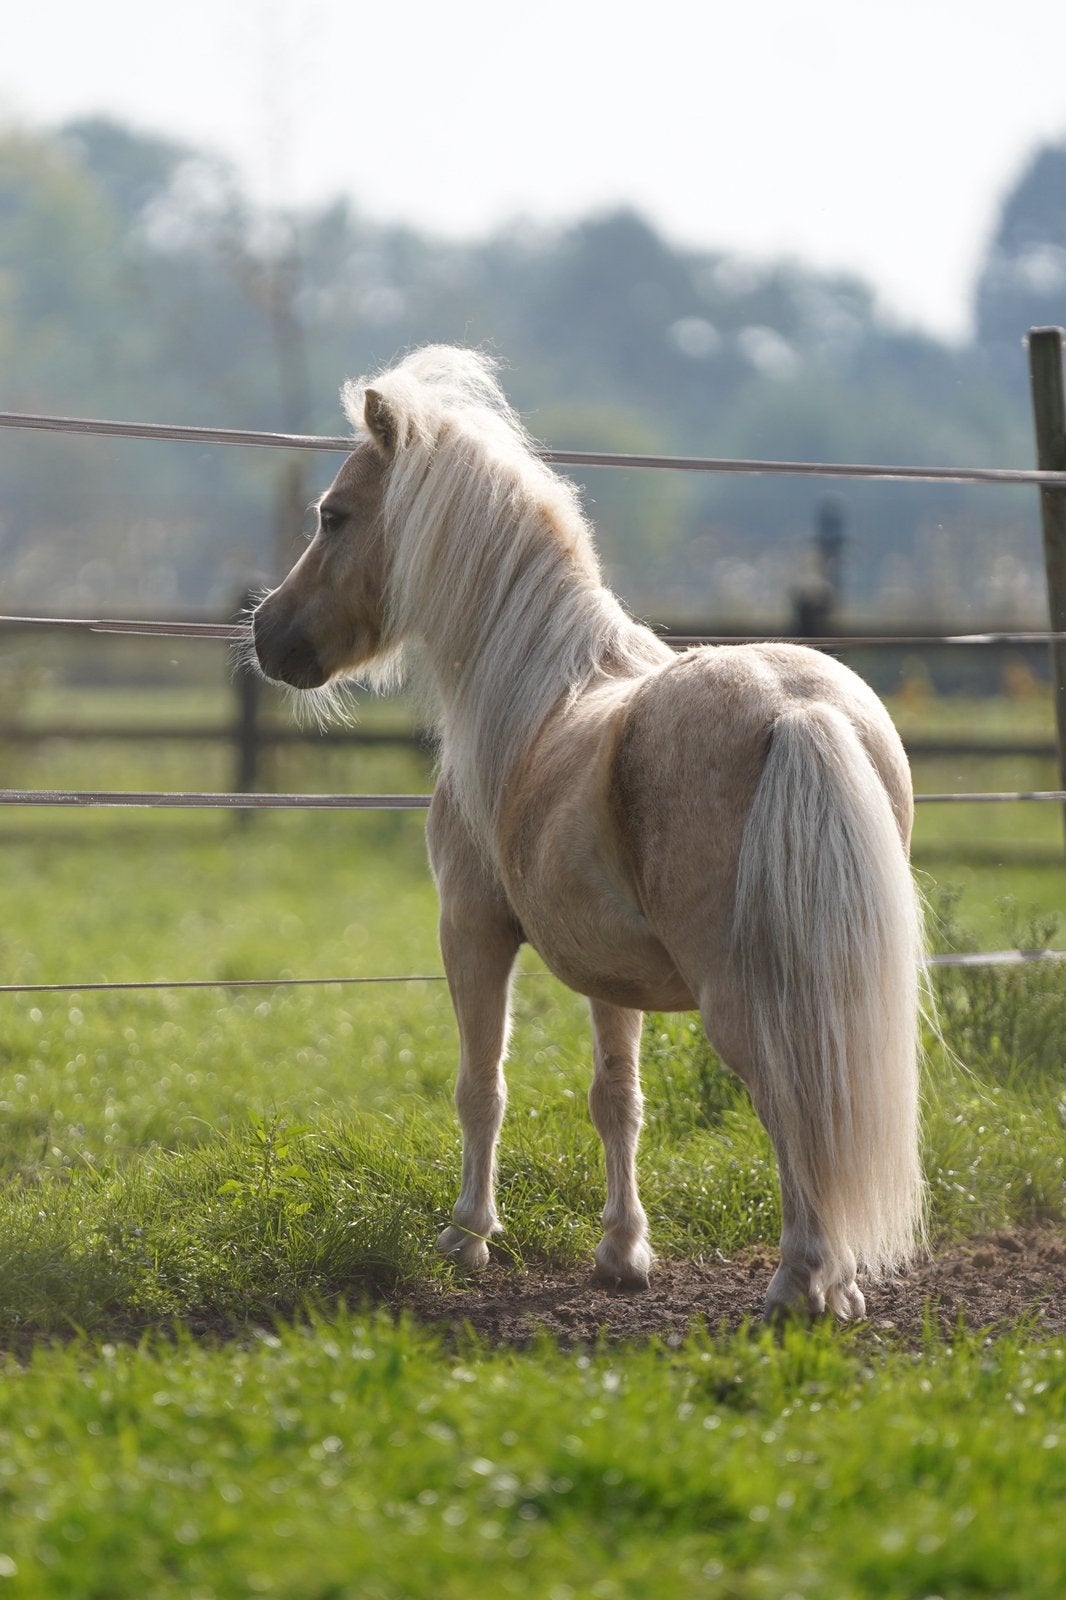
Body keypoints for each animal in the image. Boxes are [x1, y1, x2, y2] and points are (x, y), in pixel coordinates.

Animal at [251, 345, 926, 1320]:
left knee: (794, 1098)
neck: (536, 687)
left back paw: (801, 1282)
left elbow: (481, 1087)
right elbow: (618, 1100)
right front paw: (622, 1253)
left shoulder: (472, 930)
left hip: (743, 993)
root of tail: (799, 713)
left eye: (333, 516)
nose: (267, 633)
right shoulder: (614, 972)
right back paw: (832, 1286)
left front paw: (467, 1236)